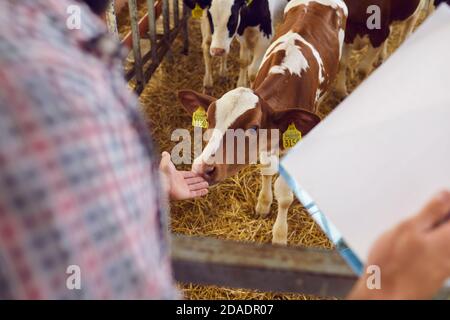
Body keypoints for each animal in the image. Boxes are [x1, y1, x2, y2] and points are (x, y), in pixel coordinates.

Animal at [178, 0, 346, 244]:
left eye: (253, 128)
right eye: (209, 120)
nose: (203, 167)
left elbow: (284, 195)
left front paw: (279, 235)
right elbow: (266, 172)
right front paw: (264, 203)